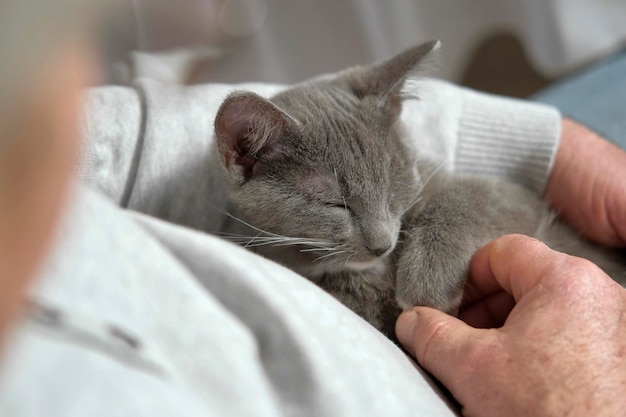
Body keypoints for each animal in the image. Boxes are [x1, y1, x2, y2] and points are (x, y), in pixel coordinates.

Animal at [212, 40, 620, 336]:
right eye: (334, 203)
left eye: (393, 184)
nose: (382, 244)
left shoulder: (518, 198)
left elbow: (468, 197)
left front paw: (427, 280)